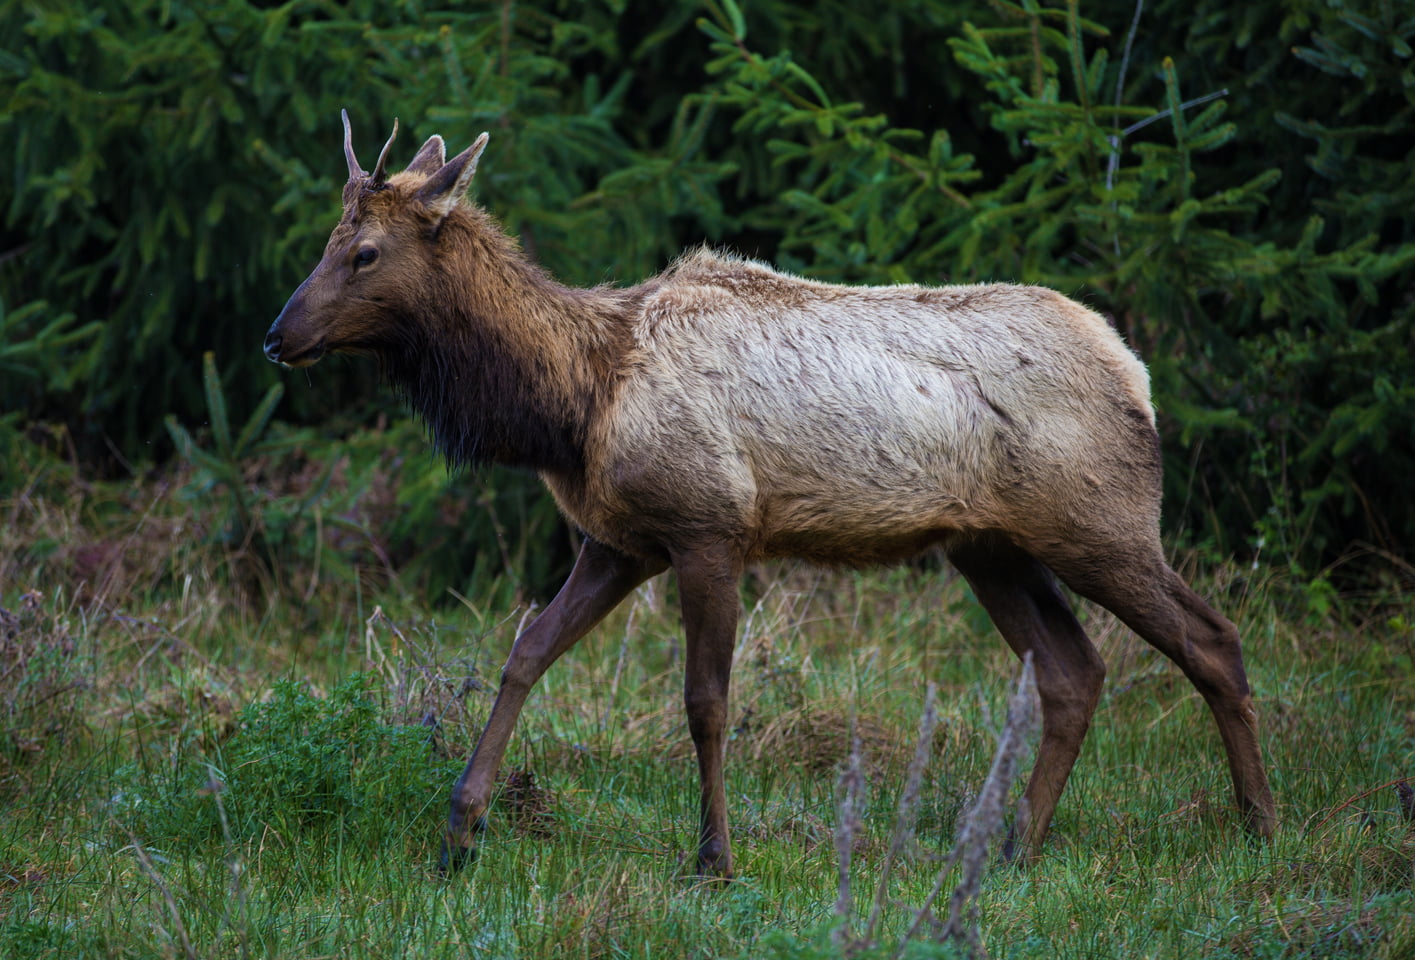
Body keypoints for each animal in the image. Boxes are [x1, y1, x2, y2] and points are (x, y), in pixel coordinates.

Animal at [260, 114, 1279, 877]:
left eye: (364, 252)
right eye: (327, 242)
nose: (277, 335)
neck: (573, 404)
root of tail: (1137, 375)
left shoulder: (709, 524)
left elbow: (705, 700)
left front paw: (713, 857)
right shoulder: (618, 539)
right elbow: (525, 652)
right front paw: (457, 833)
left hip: (1099, 519)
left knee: (1211, 638)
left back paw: (1257, 824)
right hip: (991, 545)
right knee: (1074, 671)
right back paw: (1013, 850)